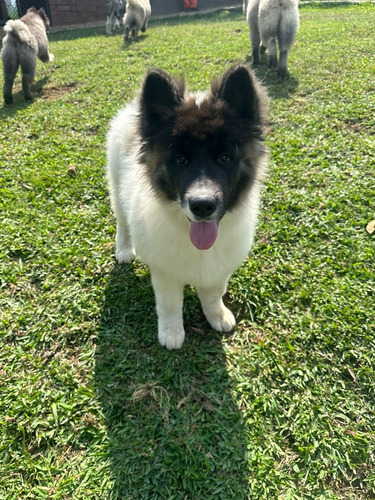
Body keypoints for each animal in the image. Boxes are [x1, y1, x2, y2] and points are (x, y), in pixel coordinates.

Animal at [107, 64, 268, 350]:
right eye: (180, 160)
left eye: (224, 158)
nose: (202, 205)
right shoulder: (165, 272)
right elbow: (170, 304)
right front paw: (171, 333)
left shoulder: (219, 269)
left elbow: (213, 295)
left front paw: (218, 315)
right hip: (116, 187)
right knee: (123, 223)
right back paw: (124, 249)